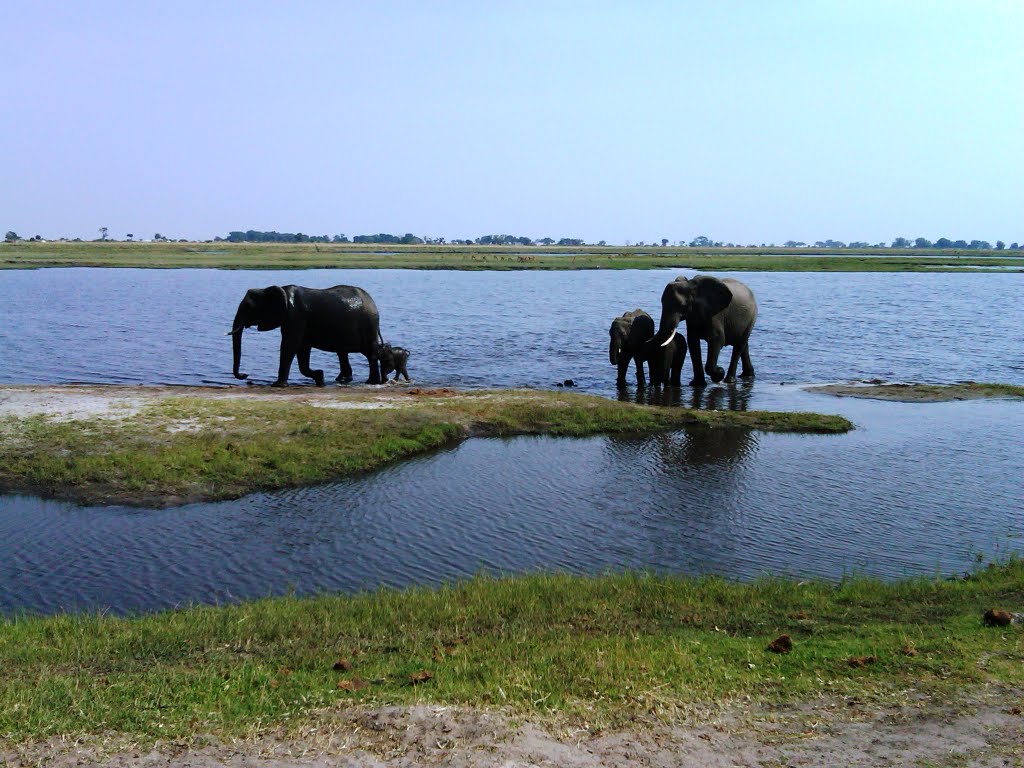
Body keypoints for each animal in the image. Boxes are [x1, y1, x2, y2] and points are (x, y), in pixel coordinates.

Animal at [229, 286, 385, 387]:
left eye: (249, 307)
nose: (245, 375)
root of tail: (373, 303)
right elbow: (302, 349)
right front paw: (320, 378)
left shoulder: (295, 317)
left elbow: (290, 346)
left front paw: (277, 385)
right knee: (343, 352)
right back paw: (343, 380)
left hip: (368, 324)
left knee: (369, 352)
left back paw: (371, 382)